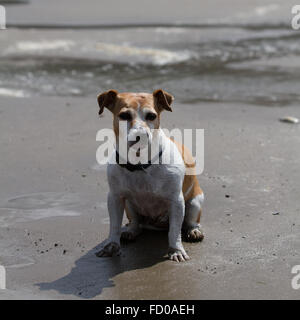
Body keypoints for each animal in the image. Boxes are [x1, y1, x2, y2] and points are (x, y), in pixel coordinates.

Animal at [96, 89, 204, 262]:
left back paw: (193, 230)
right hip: (129, 205)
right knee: (136, 223)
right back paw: (131, 231)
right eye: (124, 115)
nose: (140, 135)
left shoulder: (177, 201)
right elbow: (114, 226)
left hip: (195, 202)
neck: (140, 164)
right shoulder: (115, 198)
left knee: (190, 221)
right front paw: (112, 245)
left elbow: (175, 230)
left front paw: (176, 250)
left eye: (151, 116)